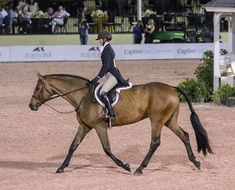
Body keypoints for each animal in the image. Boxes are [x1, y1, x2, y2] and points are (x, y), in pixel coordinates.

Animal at [28, 72, 212, 175]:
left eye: (37, 88)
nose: (31, 106)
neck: (82, 96)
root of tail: (172, 88)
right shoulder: (85, 126)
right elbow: (73, 146)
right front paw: (61, 168)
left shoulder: (99, 127)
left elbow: (107, 149)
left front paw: (125, 166)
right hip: (169, 121)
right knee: (185, 135)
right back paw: (195, 162)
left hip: (157, 120)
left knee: (155, 142)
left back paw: (139, 169)